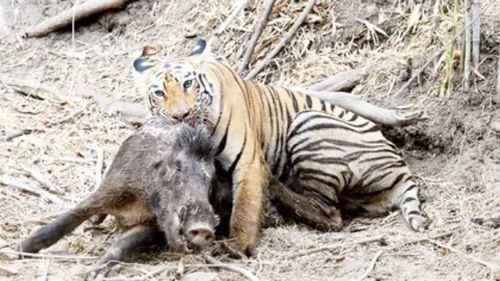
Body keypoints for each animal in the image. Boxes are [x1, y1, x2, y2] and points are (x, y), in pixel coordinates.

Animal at [133, 39, 430, 254]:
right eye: (159, 93)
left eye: (188, 83)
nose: (179, 116)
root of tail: (402, 167)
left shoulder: (248, 161)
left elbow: (244, 206)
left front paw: (236, 245)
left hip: (307, 122)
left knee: (330, 214)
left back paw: (276, 189)